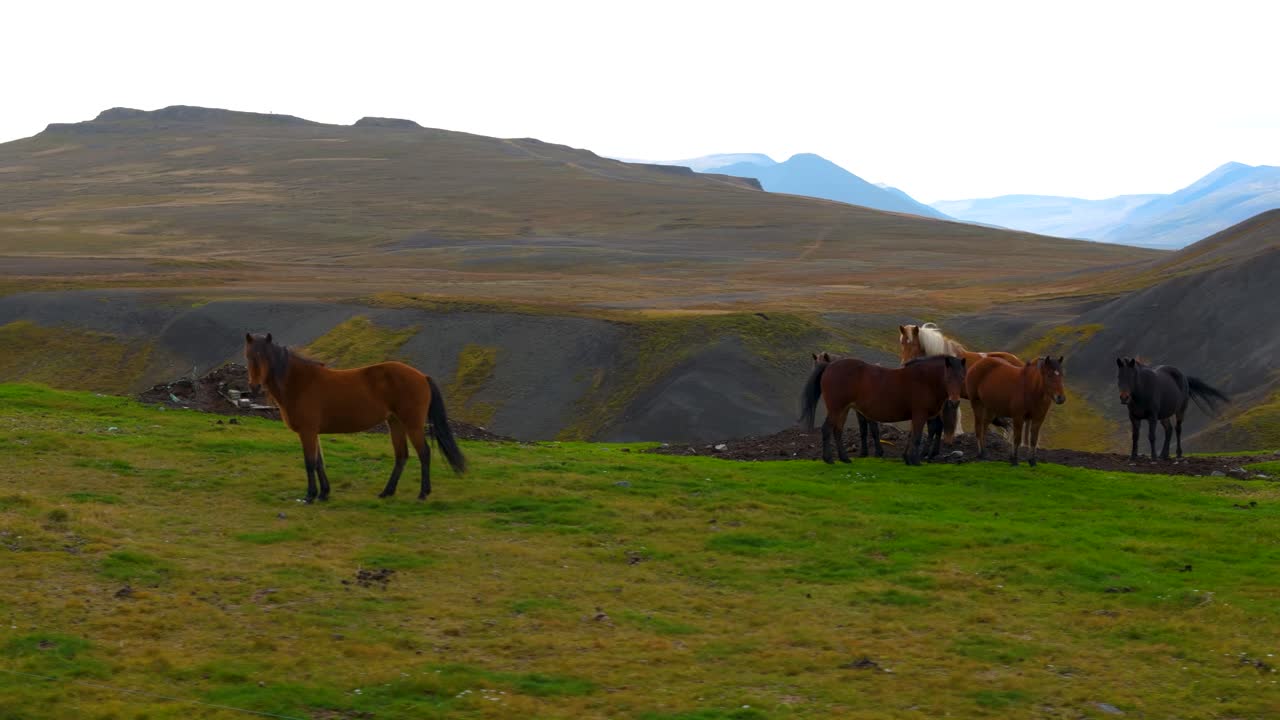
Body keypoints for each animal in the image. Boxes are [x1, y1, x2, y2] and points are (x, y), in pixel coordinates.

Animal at [245, 333, 466, 502]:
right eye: (248, 356)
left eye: (266, 357)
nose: (255, 387)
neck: (299, 383)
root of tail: (422, 376)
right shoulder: (314, 432)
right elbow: (319, 462)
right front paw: (324, 493)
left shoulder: (307, 432)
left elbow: (310, 462)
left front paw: (310, 495)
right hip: (395, 423)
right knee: (401, 455)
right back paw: (387, 492)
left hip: (412, 425)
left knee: (424, 453)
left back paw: (423, 493)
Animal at [800, 355, 966, 466]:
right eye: (948, 378)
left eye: (962, 378)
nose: (954, 402)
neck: (924, 379)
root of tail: (829, 366)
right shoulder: (920, 415)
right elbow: (917, 437)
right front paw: (915, 461)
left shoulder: (916, 416)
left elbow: (911, 435)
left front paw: (907, 458)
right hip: (837, 408)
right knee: (827, 429)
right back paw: (828, 459)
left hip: (844, 409)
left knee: (837, 431)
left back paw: (844, 458)